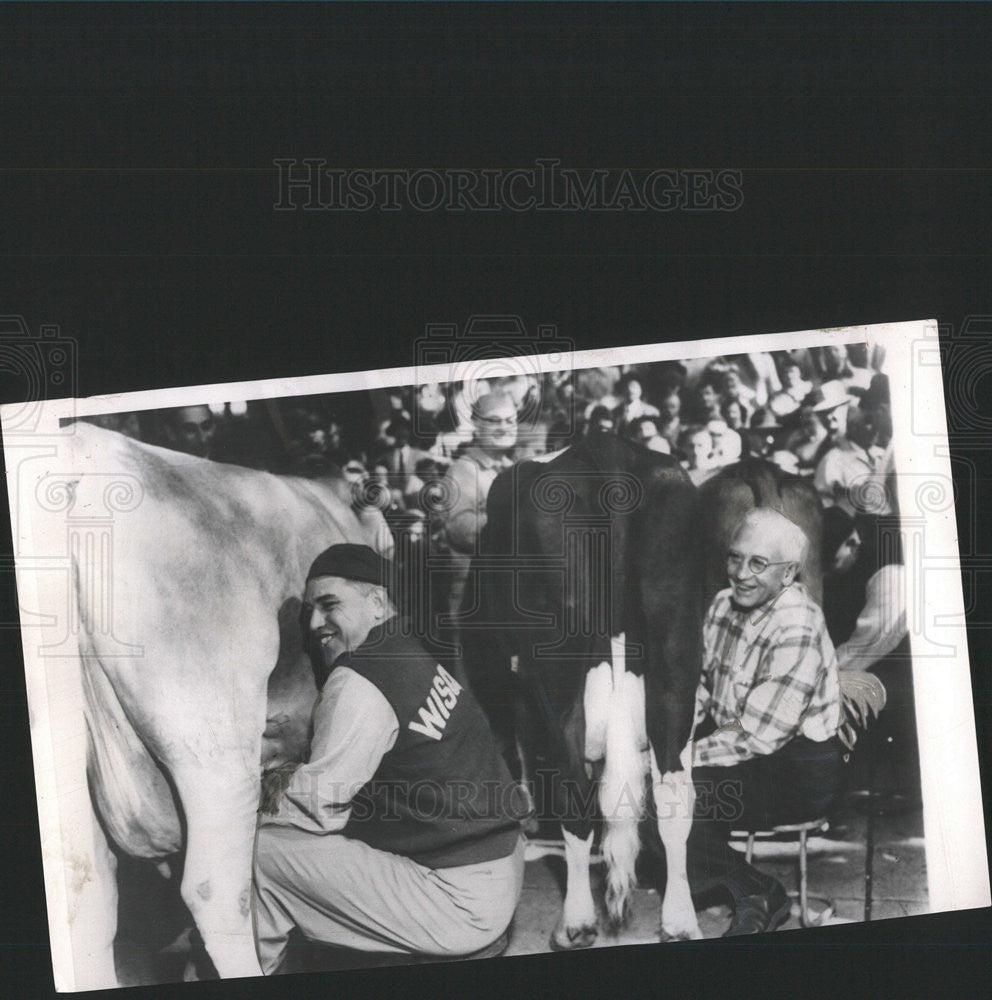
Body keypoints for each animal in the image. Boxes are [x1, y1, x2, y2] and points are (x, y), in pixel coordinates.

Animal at [462, 436, 700, 944]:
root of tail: (607, 449)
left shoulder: (518, 686)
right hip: (677, 648)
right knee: (673, 793)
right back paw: (679, 921)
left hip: (559, 673)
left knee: (574, 794)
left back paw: (576, 922)